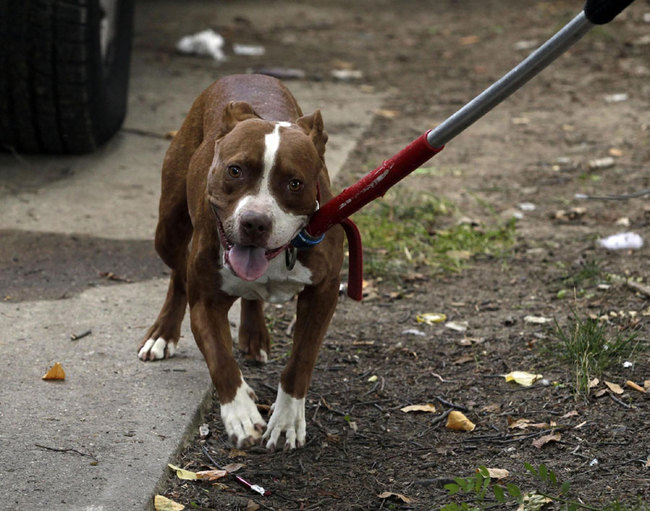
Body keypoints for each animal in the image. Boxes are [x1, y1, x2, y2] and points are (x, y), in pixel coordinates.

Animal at [137, 74, 344, 450]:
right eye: (235, 170)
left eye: (295, 183)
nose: (255, 222)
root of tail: (247, 75)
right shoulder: (205, 302)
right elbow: (220, 359)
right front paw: (241, 414)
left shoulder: (323, 293)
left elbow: (302, 358)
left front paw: (287, 419)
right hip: (169, 228)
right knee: (178, 276)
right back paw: (162, 334)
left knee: (249, 295)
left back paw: (254, 334)